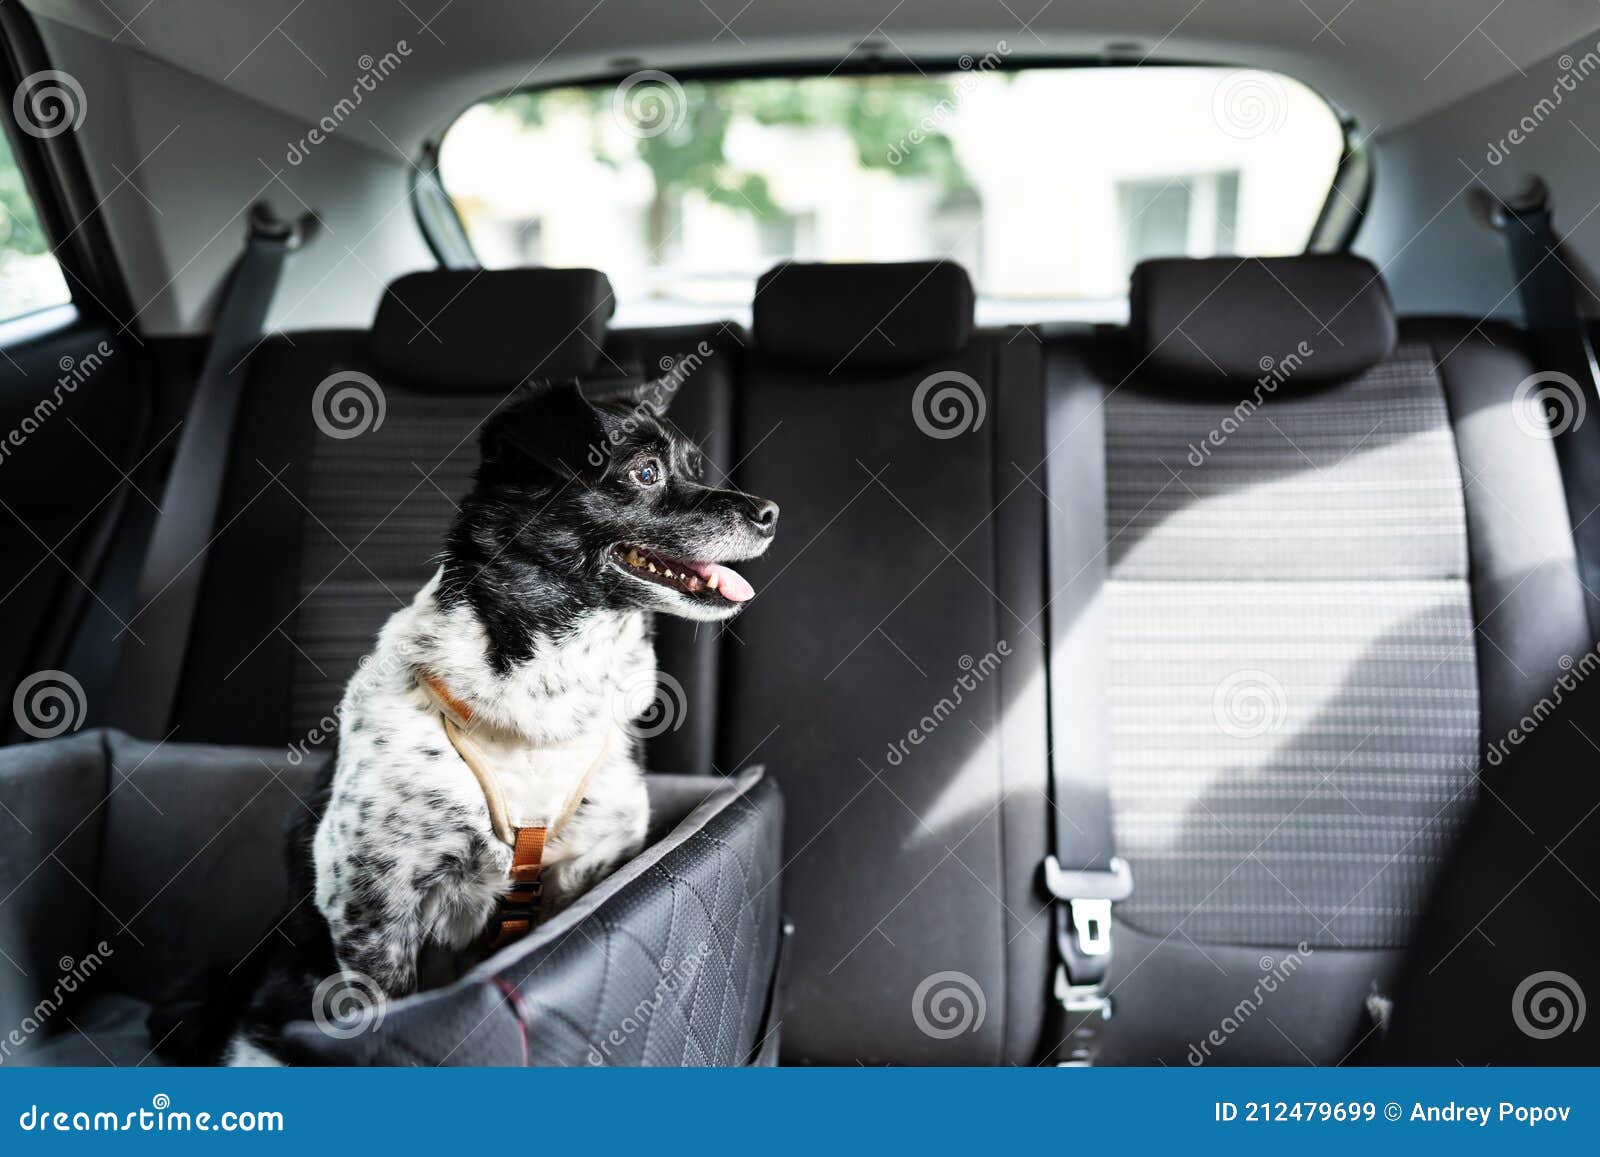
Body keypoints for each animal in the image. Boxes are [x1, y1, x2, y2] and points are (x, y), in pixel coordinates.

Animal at [154, 387, 774, 1068]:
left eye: (693, 466)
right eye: (645, 473)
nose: (770, 512)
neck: (545, 701)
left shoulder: (584, 871)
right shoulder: (375, 911)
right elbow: (382, 1011)